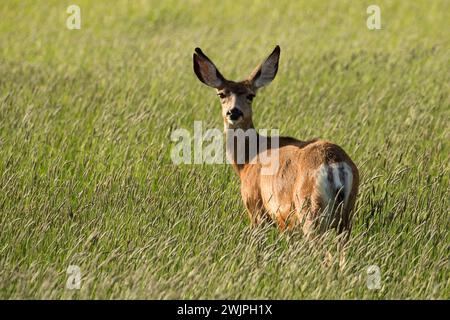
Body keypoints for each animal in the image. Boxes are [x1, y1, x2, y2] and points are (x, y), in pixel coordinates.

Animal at [192, 46, 358, 239]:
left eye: (250, 95)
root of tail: (335, 165)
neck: (247, 161)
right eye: (221, 94)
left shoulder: (256, 207)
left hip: (310, 209)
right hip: (346, 215)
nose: (234, 112)